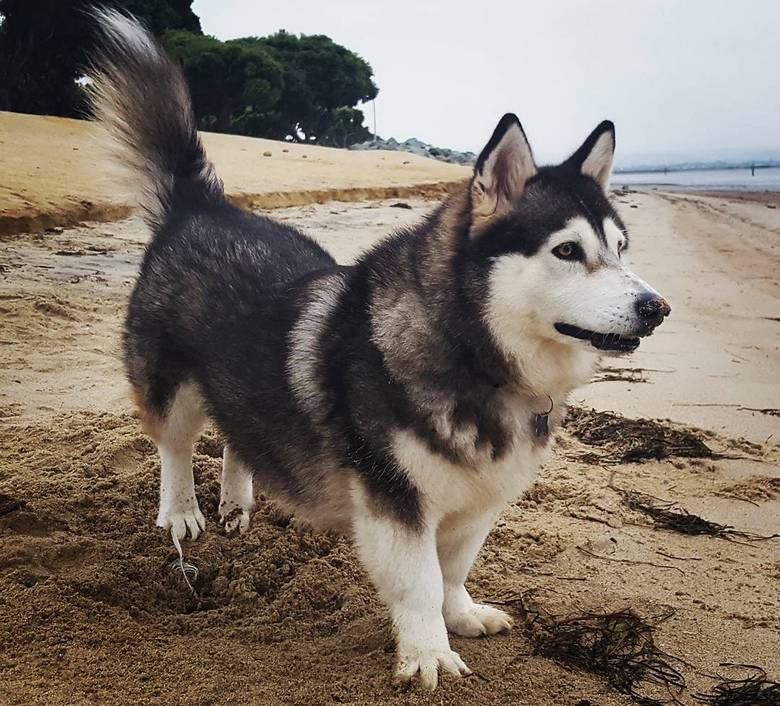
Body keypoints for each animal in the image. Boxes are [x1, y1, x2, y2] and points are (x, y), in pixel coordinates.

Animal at [88, 5, 668, 688]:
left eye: (621, 248)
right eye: (568, 250)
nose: (657, 308)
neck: (473, 357)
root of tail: (198, 206)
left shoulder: (480, 499)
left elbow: (454, 570)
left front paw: (460, 615)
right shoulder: (397, 501)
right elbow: (420, 584)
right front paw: (428, 653)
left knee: (240, 435)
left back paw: (236, 501)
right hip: (171, 385)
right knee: (175, 448)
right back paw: (182, 512)